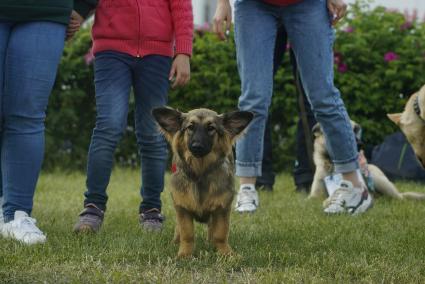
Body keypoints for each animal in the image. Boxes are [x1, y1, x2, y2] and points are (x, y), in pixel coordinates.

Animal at [152, 106, 252, 258]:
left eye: (211, 128)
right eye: (190, 127)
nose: (197, 146)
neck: (200, 171)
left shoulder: (222, 208)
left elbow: (220, 233)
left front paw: (225, 253)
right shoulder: (182, 208)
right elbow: (187, 234)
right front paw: (184, 254)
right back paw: (175, 241)